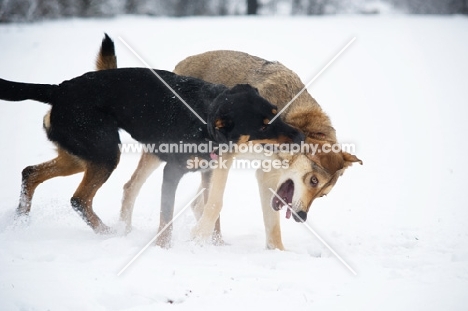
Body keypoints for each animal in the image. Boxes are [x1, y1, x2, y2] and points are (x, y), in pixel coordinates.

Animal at [0, 36, 304, 235]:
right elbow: (167, 218)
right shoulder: (172, 172)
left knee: (30, 173)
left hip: (81, 155)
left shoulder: (209, 172)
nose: (301, 136)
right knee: (79, 200)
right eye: (262, 126)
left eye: (276, 112)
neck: (203, 118)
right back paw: (110, 234)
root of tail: (59, 89)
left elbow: (212, 211)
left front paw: (212, 246)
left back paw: (21, 222)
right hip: (104, 153)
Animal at [119, 50, 360, 250]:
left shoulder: (267, 176)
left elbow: (272, 227)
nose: (301, 217)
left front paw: (278, 253)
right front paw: (199, 235)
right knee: (131, 186)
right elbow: (216, 203)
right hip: (163, 153)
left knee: (196, 202)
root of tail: (184, 62)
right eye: (313, 181)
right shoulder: (228, 157)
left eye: (322, 194)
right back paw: (124, 231)